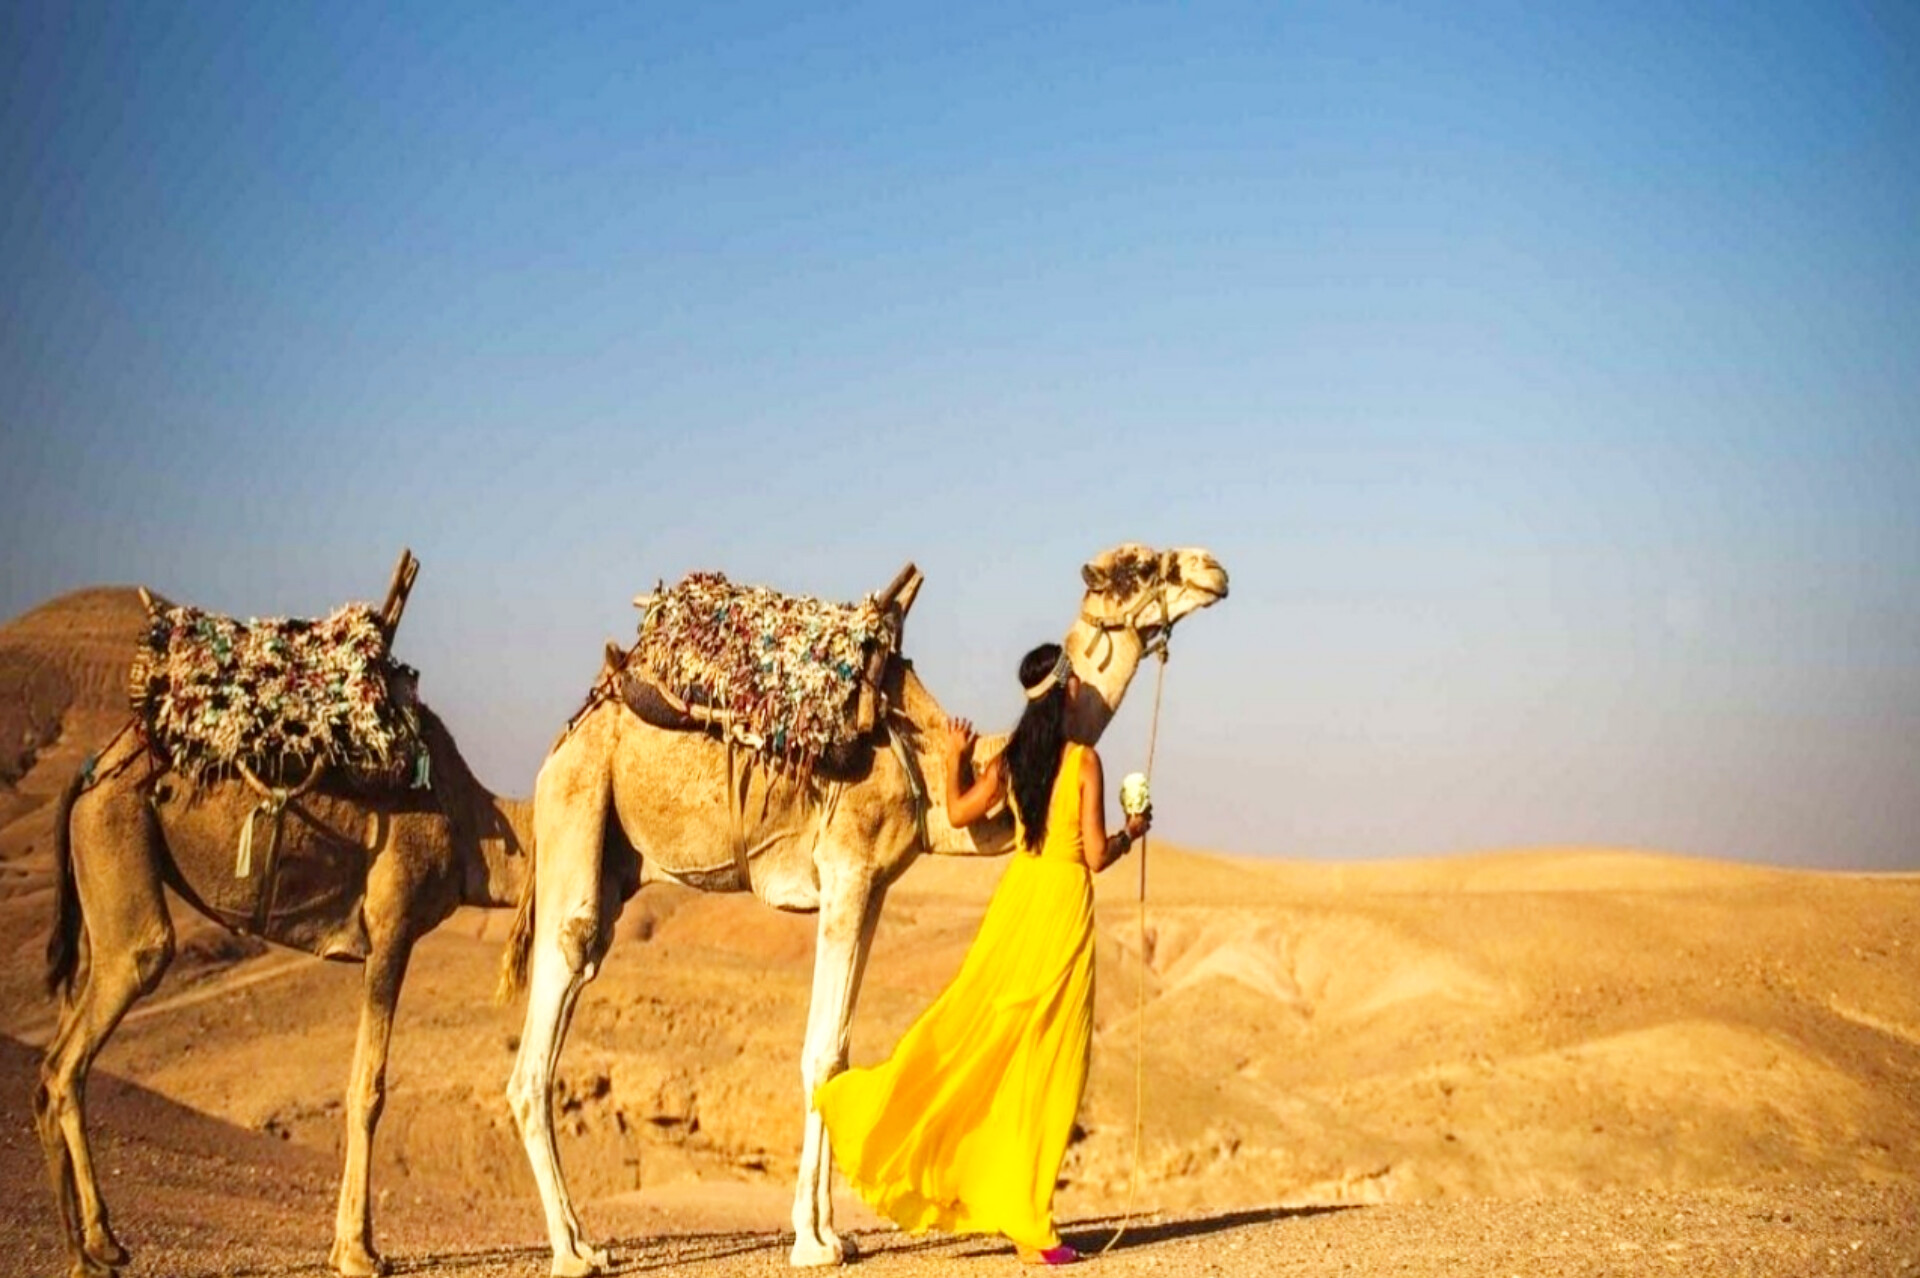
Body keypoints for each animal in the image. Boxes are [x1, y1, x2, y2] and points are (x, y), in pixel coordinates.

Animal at [39, 579, 533, 1274]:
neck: (475, 826)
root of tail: (86, 776)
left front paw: (352, 1243)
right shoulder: (393, 924)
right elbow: (368, 1088)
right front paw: (357, 1250)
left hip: (96, 890)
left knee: (57, 1054)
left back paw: (88, 1244)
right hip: (116, 839)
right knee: (78, 1046)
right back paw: (95, 1245)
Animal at [503, 541, 1228, 1266]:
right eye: (1139, 567)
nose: (1212, 570)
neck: (926, 758)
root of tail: (561, 741)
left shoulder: (874, 887)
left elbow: (841, 1051)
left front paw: (834, 1232)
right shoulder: (846, 871)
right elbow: (820, 1053)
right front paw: (811, 1244)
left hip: (615, 853)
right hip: (578, 803)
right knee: (553, 1005)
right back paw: (575, 1254)